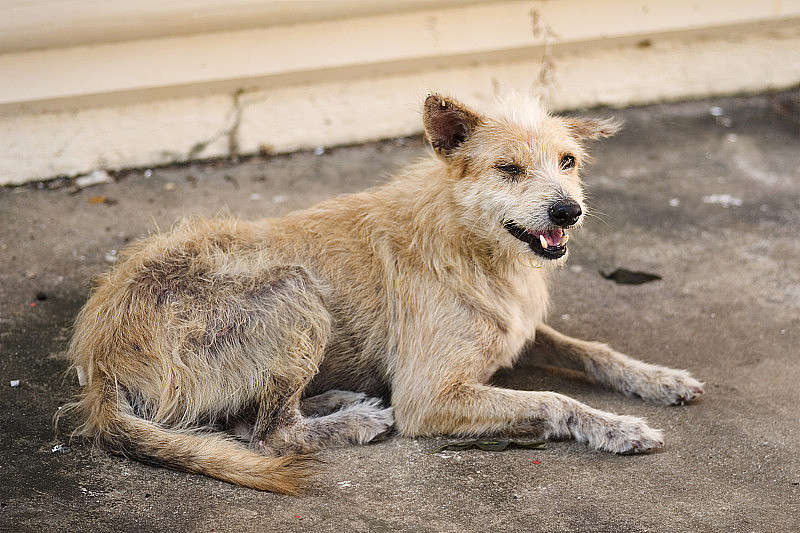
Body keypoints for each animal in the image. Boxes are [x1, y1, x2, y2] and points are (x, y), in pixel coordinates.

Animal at [65, 93, 704, 492]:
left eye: (568, 161)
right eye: (508, 169)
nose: (568, 211)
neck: (472, 241)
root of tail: (100, 362)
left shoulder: (519, 329)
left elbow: (591, 351)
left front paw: (658, 379)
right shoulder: (429, 397)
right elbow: (552, 400)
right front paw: (617, 428)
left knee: (246, 423)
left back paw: (335, 400)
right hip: (296, 293)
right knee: (270, 434)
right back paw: (354, 420)